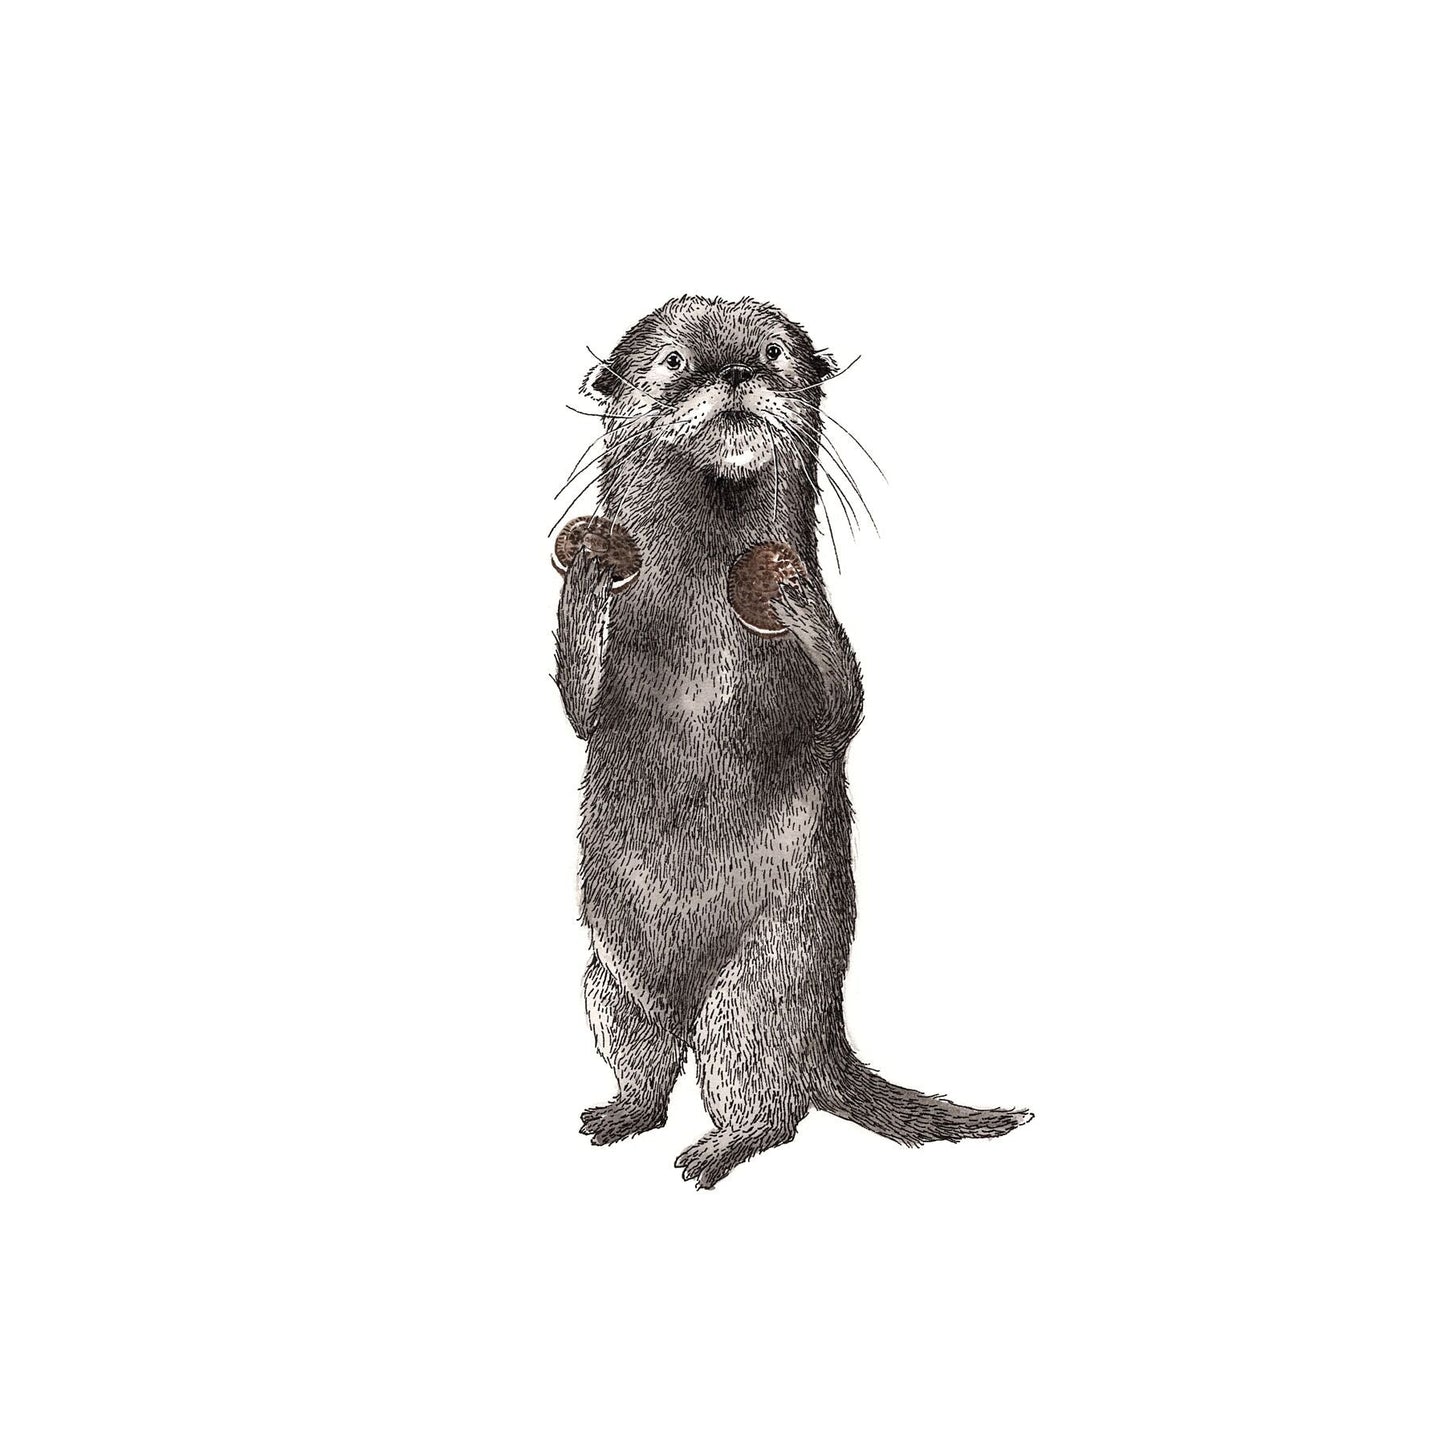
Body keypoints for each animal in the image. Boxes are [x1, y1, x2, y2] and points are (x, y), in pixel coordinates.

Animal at [553, 296, 1030, 1189]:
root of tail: (823, 1035)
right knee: (648, 1063)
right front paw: (590, 558)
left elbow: (845, 709)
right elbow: (577, 703)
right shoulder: (600, 688)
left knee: (768, 1099)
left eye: (775, 350)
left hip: (764, 986)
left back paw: (717, 1148)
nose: (737, 370)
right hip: (609, 984)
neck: (701, 643)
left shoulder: (829, 696)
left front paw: (781, 584)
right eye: (674, 361)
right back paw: (620, 1113)